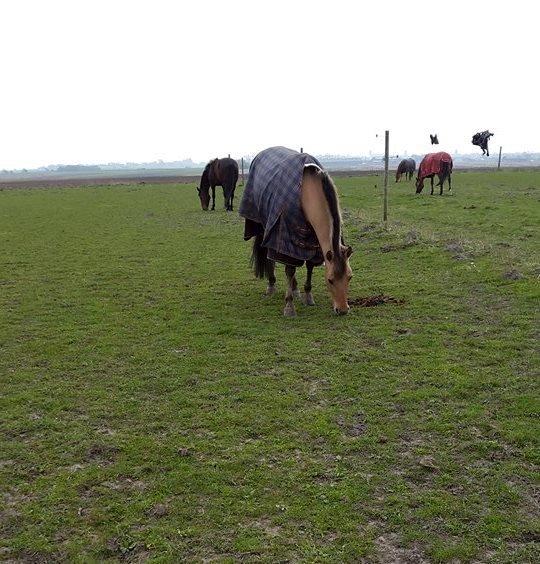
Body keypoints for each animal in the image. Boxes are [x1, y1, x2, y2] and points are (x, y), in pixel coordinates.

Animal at [240, 147, 354, 318]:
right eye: (330, 280)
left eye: (349, 277)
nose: (342, 310)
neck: (306, 192)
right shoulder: (285, 238)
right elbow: (289, 269)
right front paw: (289, 306)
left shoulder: (313, 244)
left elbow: (309, 267)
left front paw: (308, 296)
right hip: (264, 227)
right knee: (269, 257)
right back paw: (271, 285)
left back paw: (295, 289)